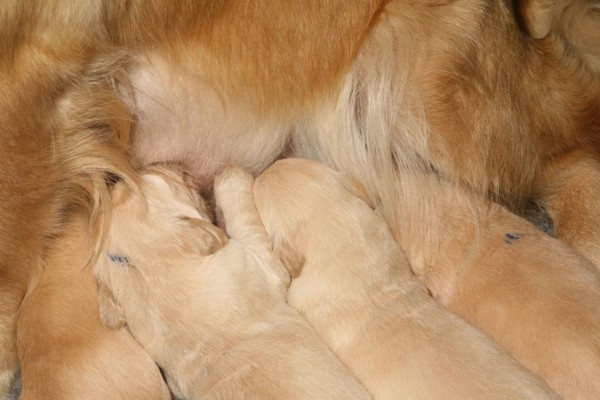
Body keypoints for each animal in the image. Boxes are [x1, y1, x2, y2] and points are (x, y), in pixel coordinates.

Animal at [92, 165, 372, 400]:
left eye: (138, 176)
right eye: (159, 178)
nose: (115, 175)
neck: (141, 271)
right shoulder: (263, 267)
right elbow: (246, 221)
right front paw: (231, 174)